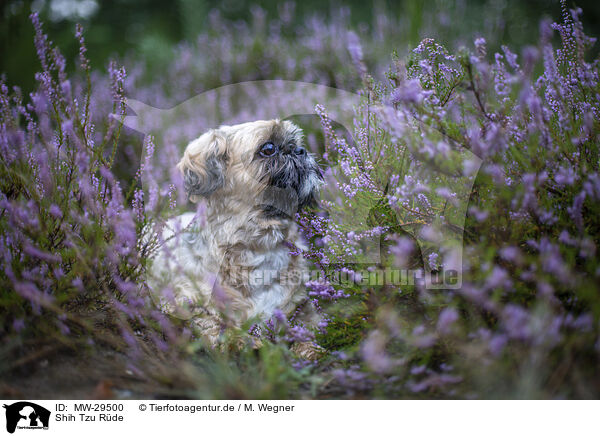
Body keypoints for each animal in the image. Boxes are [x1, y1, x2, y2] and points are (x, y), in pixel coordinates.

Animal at [149, 119, 324, 358]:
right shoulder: (181, 301)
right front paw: (241, 341)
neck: (260, 246)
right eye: (268, 148)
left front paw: (309, 348)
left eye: (296, 143)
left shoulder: (301, 305)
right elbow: (211, 323)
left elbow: (307, 325)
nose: (300, 150)